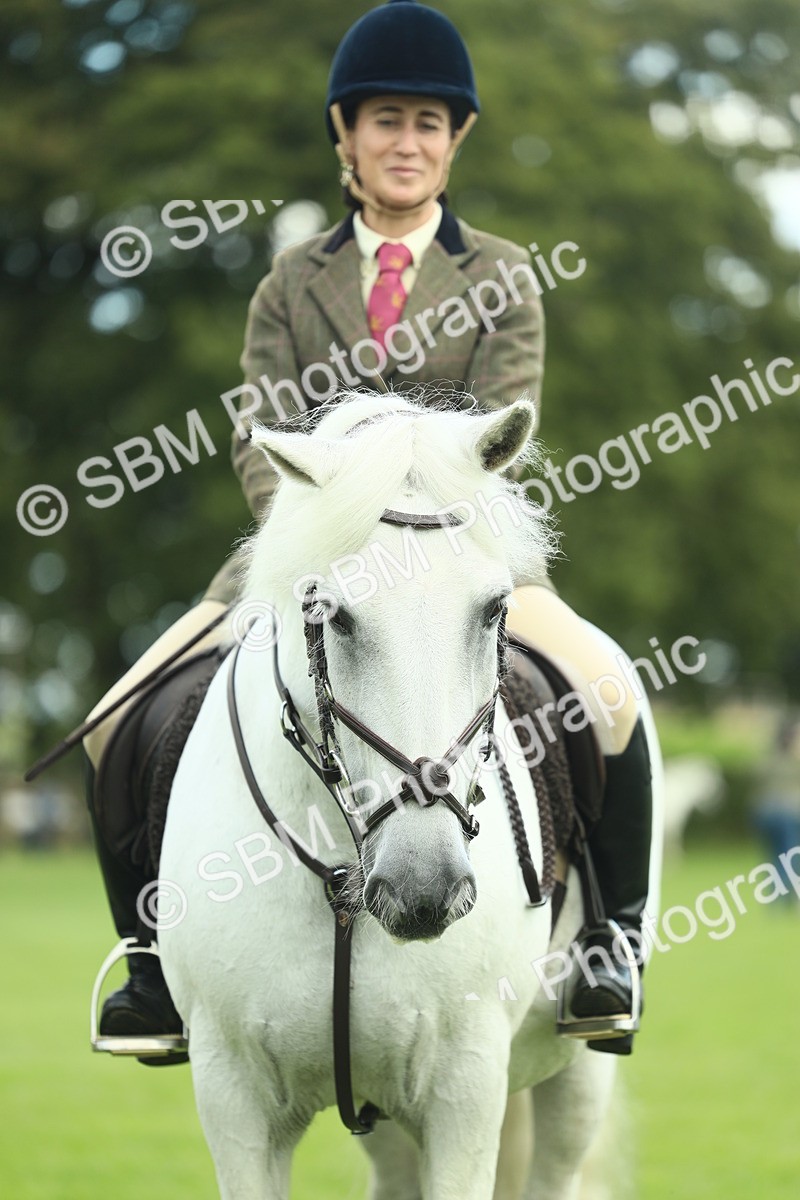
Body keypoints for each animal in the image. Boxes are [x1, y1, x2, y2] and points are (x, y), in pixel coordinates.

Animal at [158, 390, 661, 1200]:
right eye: (332, 614)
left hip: (578, 1070)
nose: (425, 889)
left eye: (494, 609)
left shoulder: (465, 1089)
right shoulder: (233, 1096)